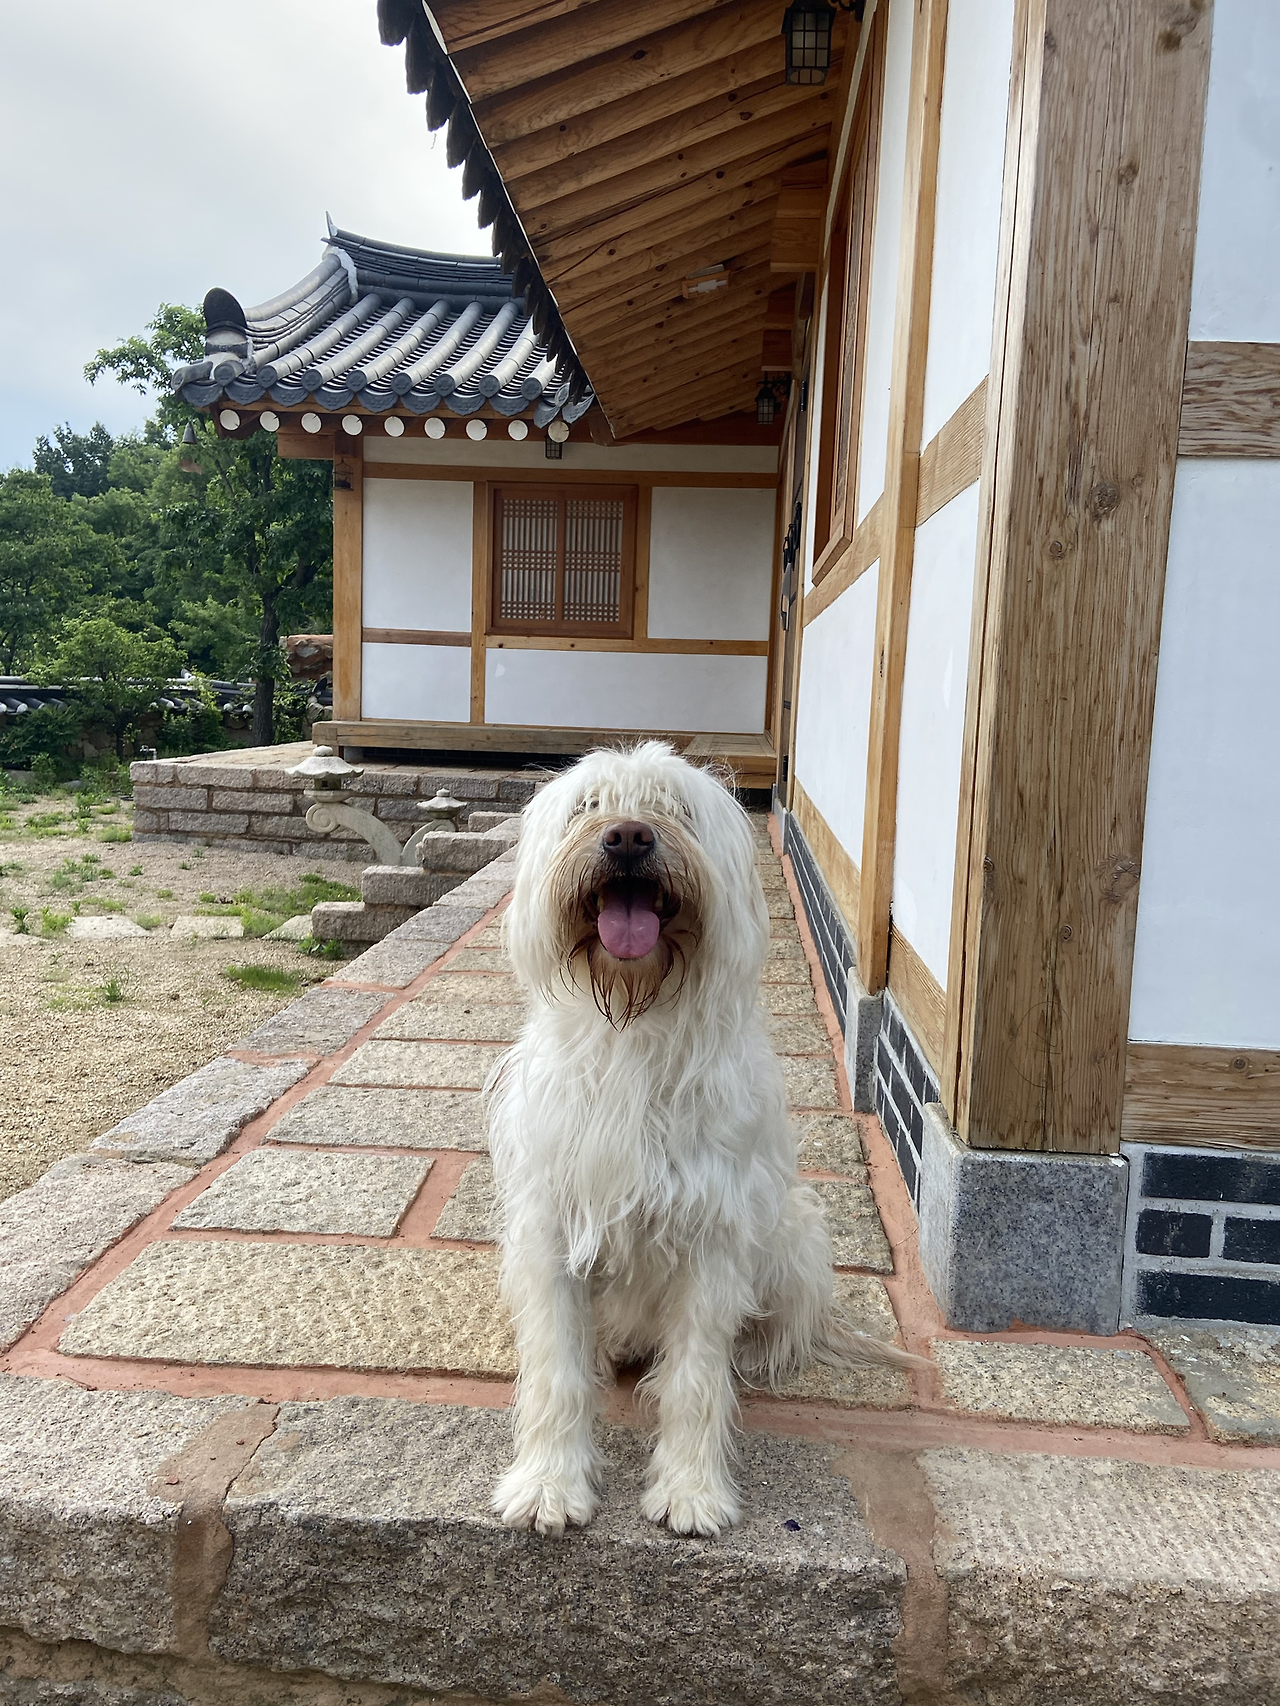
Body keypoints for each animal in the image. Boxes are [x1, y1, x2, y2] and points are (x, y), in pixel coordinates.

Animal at [487, 743, 918, 1538]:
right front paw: (548, 1485)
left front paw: (690, 1489)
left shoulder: (711, 1234)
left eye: (675, 808)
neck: (634, 1025)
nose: (629, 837)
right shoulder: (553, 1228)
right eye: (589, 806)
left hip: (795, 1234)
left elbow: (694, 1378)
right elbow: (557, 1371)